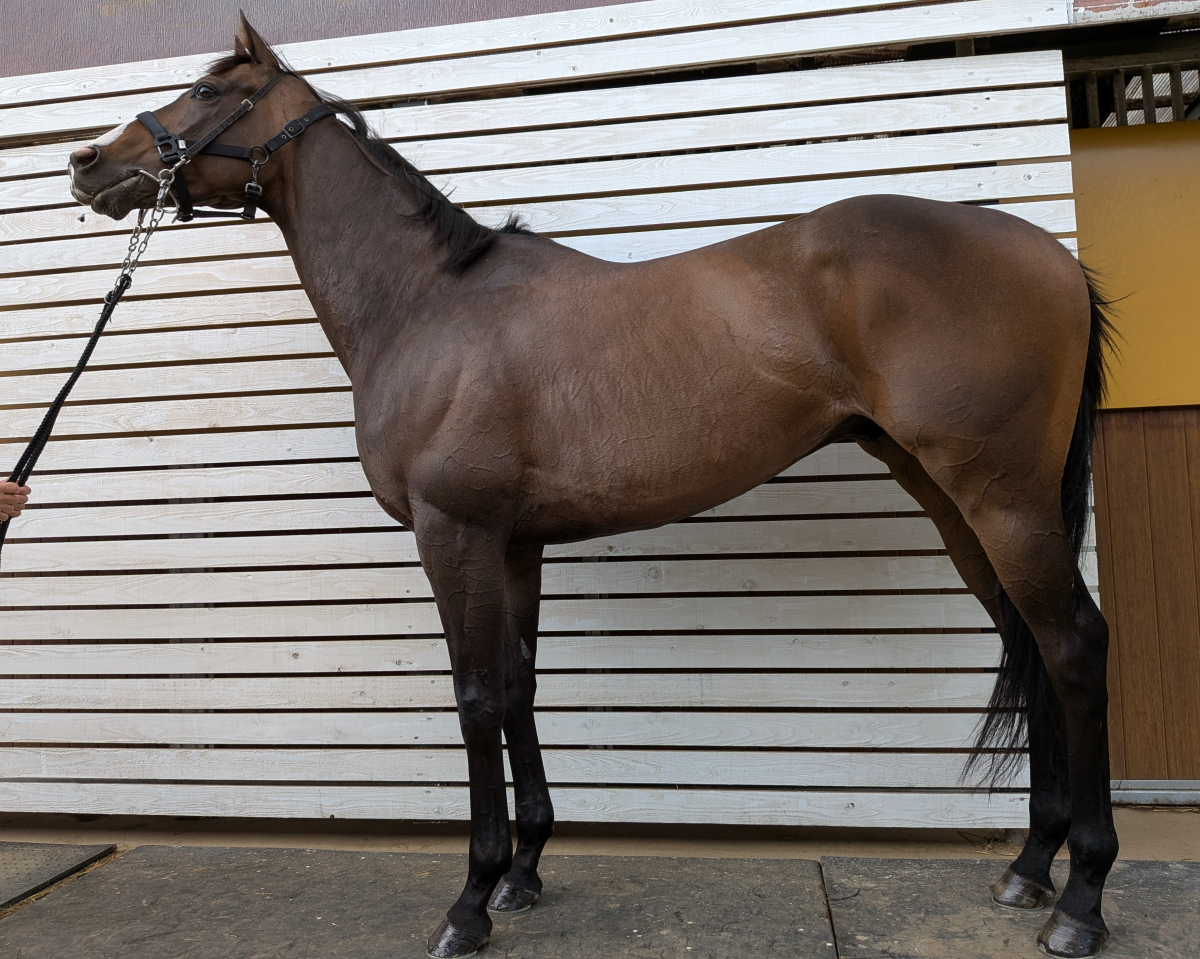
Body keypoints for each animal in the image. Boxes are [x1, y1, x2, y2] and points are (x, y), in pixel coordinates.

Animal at [67, 17, 1116, 959]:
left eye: (207, 91)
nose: (87, 163)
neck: (428, 303)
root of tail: (1054, 257)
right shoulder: (512, 542)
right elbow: (520, 685)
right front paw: (526, 872)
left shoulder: (451, 533)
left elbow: (476, 696)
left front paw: (471, 900)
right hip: (953, 497)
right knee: (1028, 639)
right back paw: (1030, 867)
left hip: (1000, 497)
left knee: (1071, 644)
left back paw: (1082, 901)